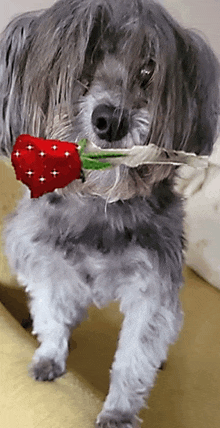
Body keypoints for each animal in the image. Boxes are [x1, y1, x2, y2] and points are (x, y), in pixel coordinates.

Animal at [0, 0, 220, 426]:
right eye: (79, 62)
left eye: (149, 68)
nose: (111, 120)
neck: (99, 205)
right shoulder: (44, 259)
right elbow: (51, 311)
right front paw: (49, 356)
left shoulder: (153, 285)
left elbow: (135, 354)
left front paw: (118, 410)